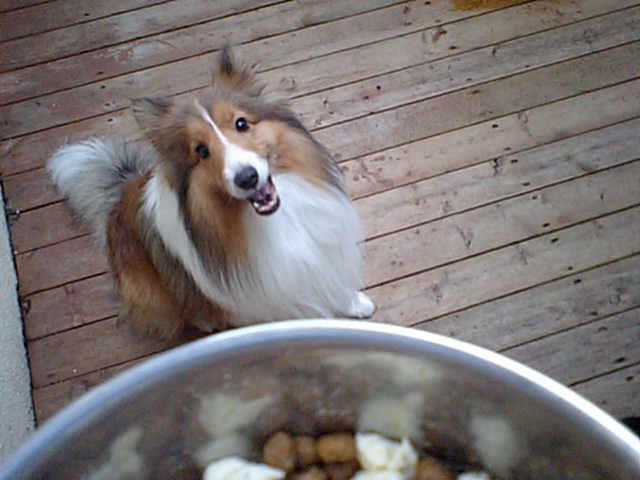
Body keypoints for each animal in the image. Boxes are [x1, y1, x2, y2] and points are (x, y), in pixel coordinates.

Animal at [48, 48, 375, 338]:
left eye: (241, 123)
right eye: (201, 151)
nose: (247, 178)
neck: (277, 219)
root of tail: (118, 194)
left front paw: (356, 304)